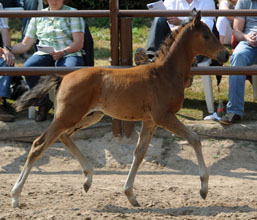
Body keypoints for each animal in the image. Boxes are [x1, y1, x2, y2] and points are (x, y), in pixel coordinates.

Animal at [11, 10, 228, 209]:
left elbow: (139, 153)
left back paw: (88, 179)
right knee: (39, 144)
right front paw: (203, 188)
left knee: (64, 137)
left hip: (91, 116)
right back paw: (15, 195)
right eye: (206, 35)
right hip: (69, 116)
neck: (164, 73)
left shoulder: (150, 120)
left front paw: (130, 195)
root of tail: (63, 77)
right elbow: (195, 138)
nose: (225, 54)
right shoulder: (163, 116)